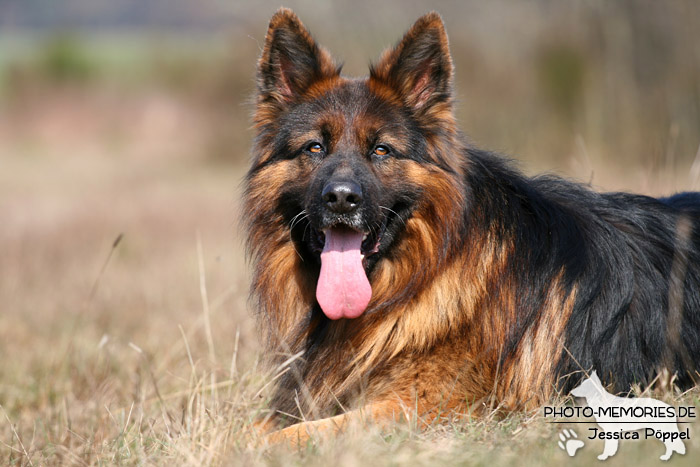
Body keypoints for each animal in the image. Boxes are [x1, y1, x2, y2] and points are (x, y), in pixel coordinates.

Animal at [242, 8, 700, 446]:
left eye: (381, 150)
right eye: (314, 148)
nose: (340, 198)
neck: (424, 274)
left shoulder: (421, 406)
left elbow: (281, 437)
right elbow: (254, 425)